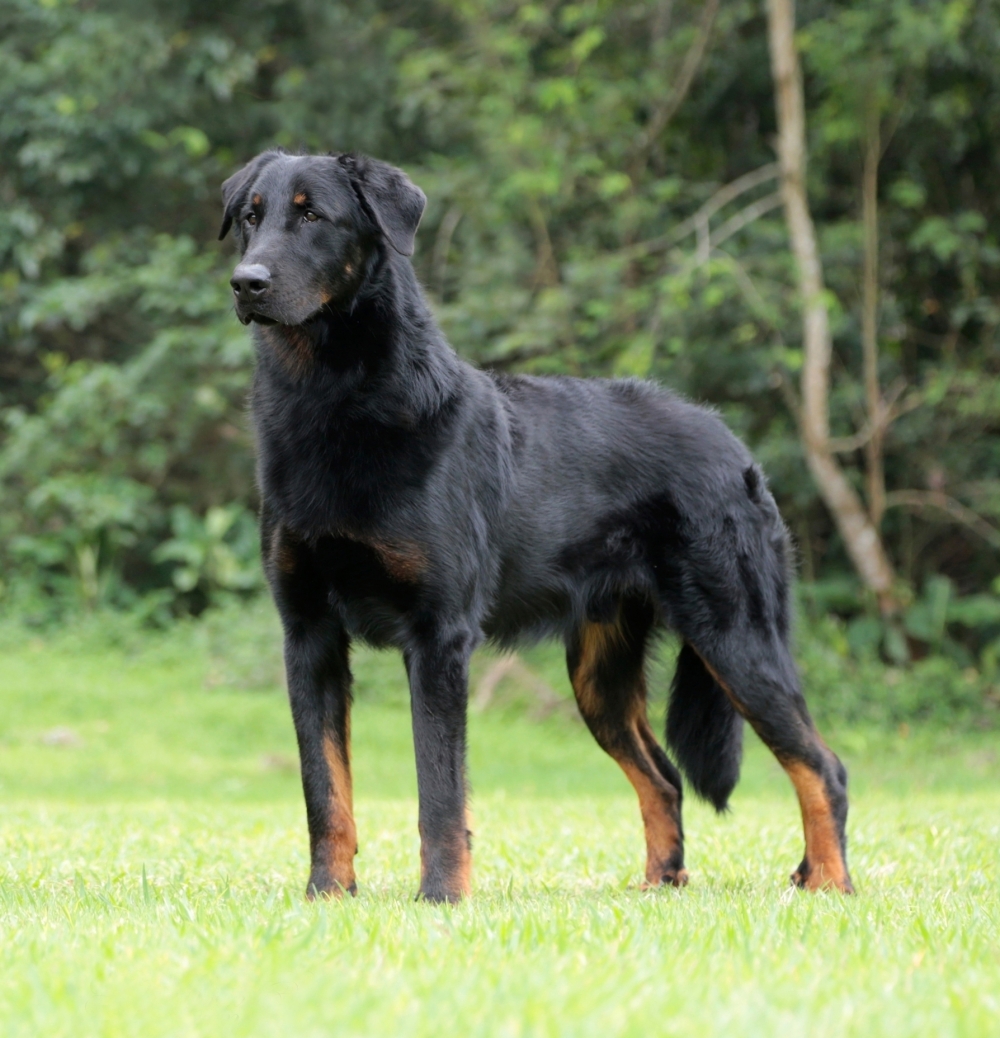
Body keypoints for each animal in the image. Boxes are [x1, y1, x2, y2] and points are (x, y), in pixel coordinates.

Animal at [217, 150, 851, 905]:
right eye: (250, 217)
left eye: (312, 214)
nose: (246, 282)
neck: (335, 401)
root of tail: (732, 443)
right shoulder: (309, 634)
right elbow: (325, 790)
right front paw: (327, 895)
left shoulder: (438, 640)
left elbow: (440, 794)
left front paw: (441, 897)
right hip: (601, 678)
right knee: (664, 776)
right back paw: (660, 886)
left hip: (736, 640)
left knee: (822, 766)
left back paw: (828, 881)